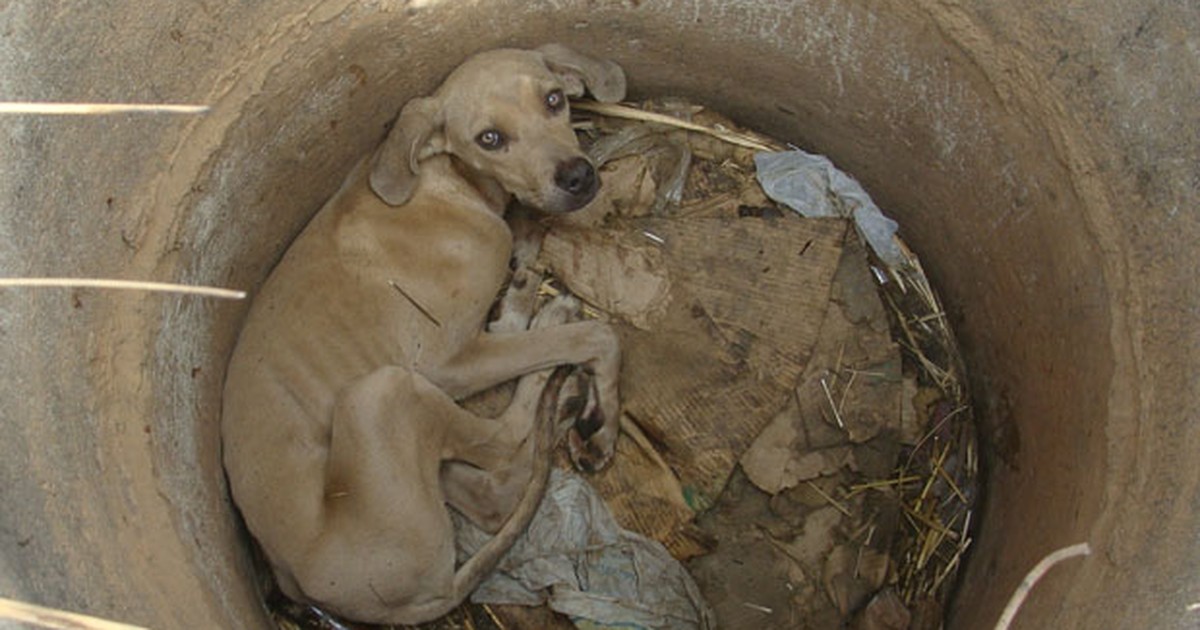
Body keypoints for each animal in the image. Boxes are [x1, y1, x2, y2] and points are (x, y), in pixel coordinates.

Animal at [218, 45, 628, 624]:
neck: (445, 182)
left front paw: (524, 287)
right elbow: (599, 337)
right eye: (490, 139)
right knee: (502, 452)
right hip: (384, 392)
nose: (578, 177)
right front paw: (604, 423)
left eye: (554, 100)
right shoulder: (447, 363)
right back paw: (559, 365)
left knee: (492, 496)